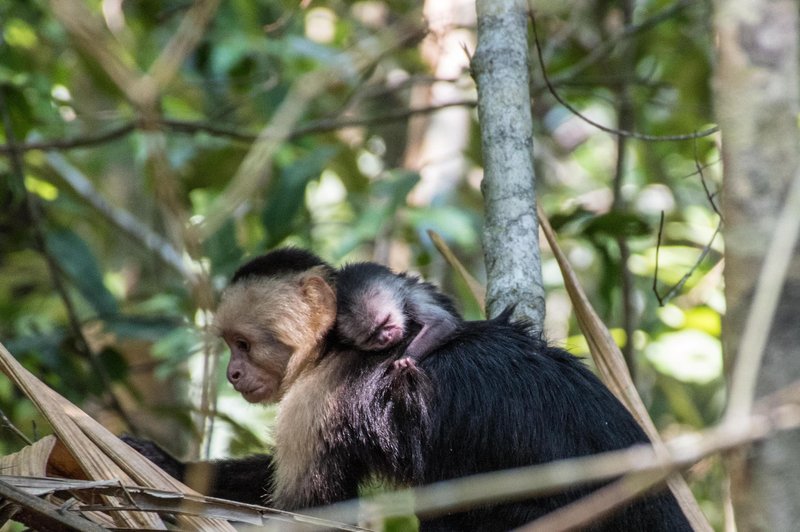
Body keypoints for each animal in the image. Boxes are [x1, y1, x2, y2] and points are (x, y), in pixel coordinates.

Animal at [334, 262, 462, 370]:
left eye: (385, 321)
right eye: (369, 337)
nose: (385, 338)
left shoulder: (411, 299)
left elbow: (442, 323)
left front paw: (407, 358)